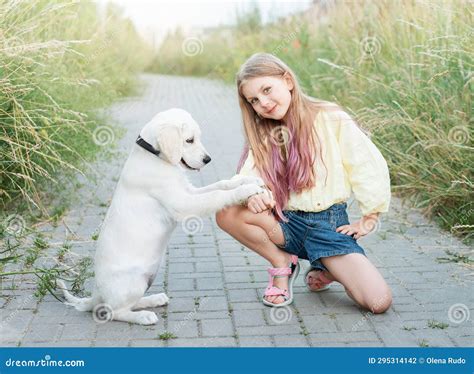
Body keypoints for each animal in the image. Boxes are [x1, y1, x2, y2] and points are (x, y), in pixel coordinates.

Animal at [57, 108, 264, 324]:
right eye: (189, 140)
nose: (208, 159)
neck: (155, 158)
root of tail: (97, 295)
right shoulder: (183, 204)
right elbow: (216, 195)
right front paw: (247, 190)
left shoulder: (188, 191)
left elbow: (221, 184)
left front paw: (248, 180)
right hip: (133, 283)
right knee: (115, 312)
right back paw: (144, 316)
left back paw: (154, 299)